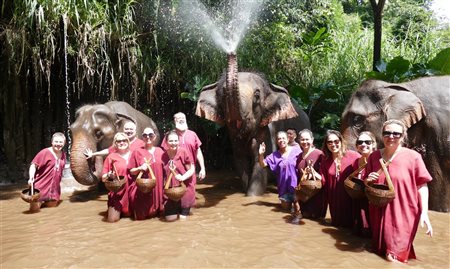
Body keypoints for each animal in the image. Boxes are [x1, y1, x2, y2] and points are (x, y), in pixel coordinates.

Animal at [195, 52, 312, 195]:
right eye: (224, 95)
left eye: (257, 96)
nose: (231, 52)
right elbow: (240, 160)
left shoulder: (267, 130)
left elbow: (260, 163)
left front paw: (252, 196)